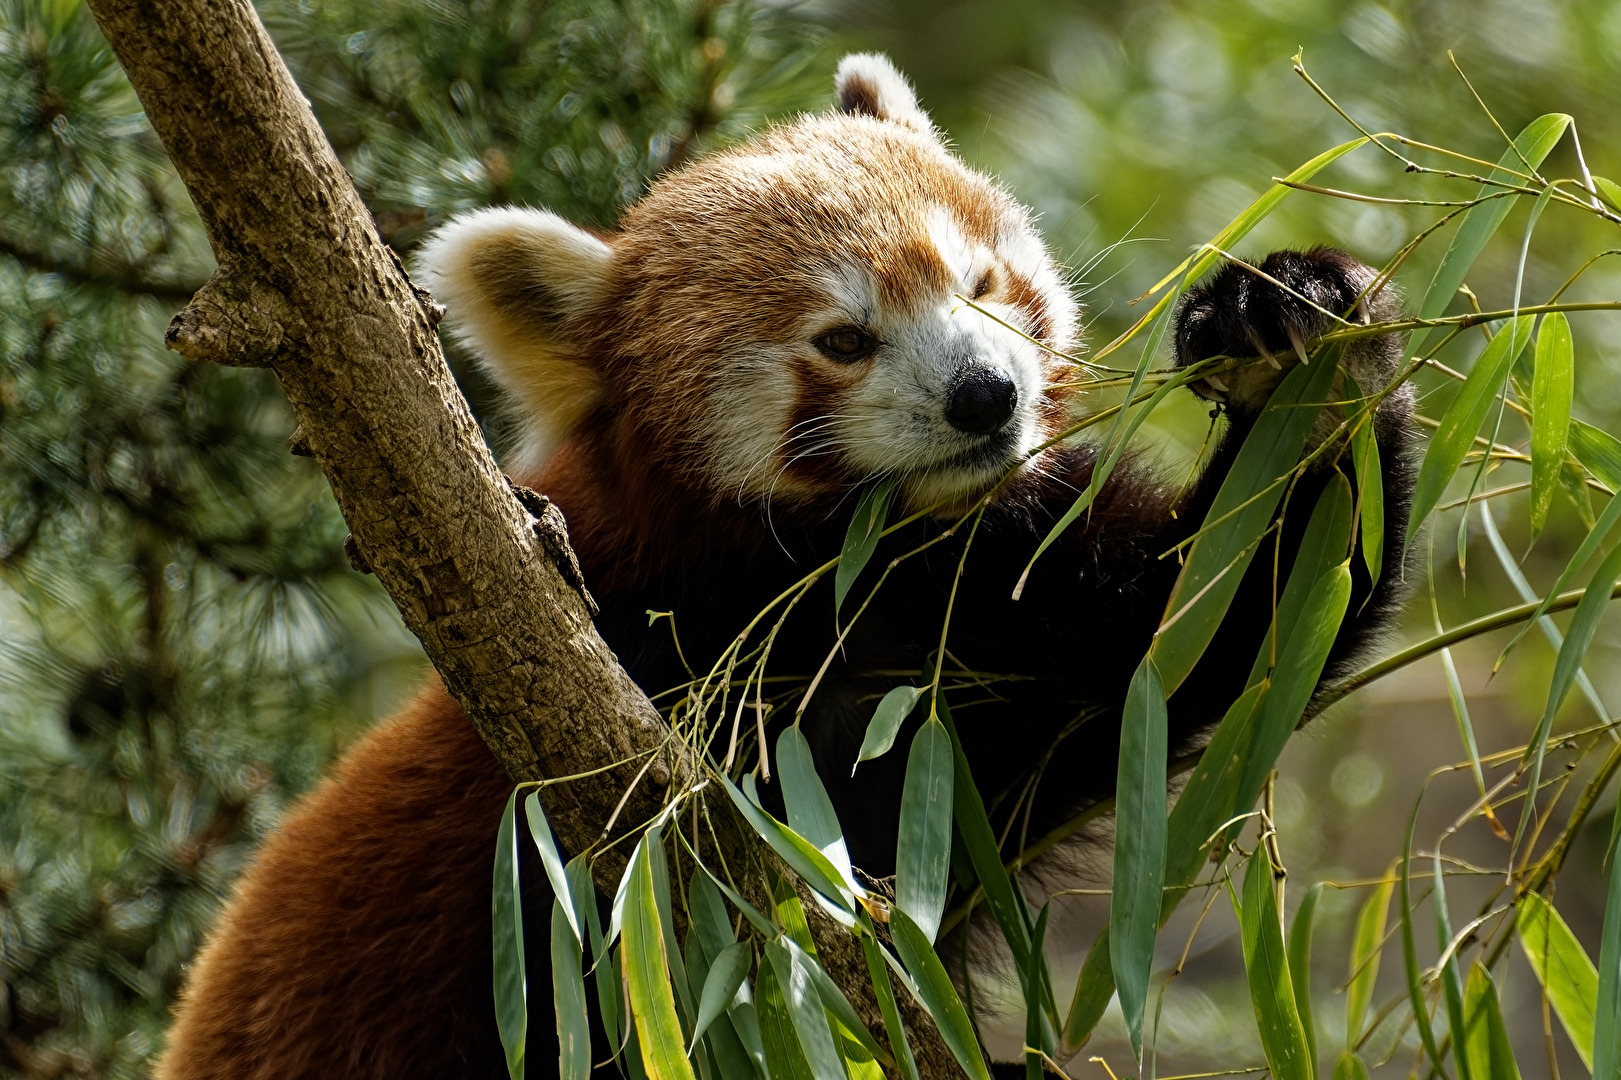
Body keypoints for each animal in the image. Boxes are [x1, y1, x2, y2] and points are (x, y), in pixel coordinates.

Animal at [158, 52, 1413, 1076]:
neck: (858, 575)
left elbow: (1211, 631)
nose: (985, 395)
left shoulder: (1001, 625)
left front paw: (1287, 331)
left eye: (979, 284)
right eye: (842, 340)